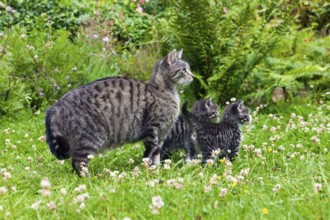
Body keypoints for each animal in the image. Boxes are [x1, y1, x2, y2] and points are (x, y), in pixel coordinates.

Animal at [44, 49, 193, 176]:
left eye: (189, 69)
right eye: (184, 70)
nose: (193, 76)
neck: (164, 90)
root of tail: (55, 106)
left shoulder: (162, 133)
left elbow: (156, 155)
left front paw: (156, 170)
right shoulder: (152, 131)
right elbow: (148, 155)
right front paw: (148, 170)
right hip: (90, 138)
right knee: (78, 162)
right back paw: (88, 179)